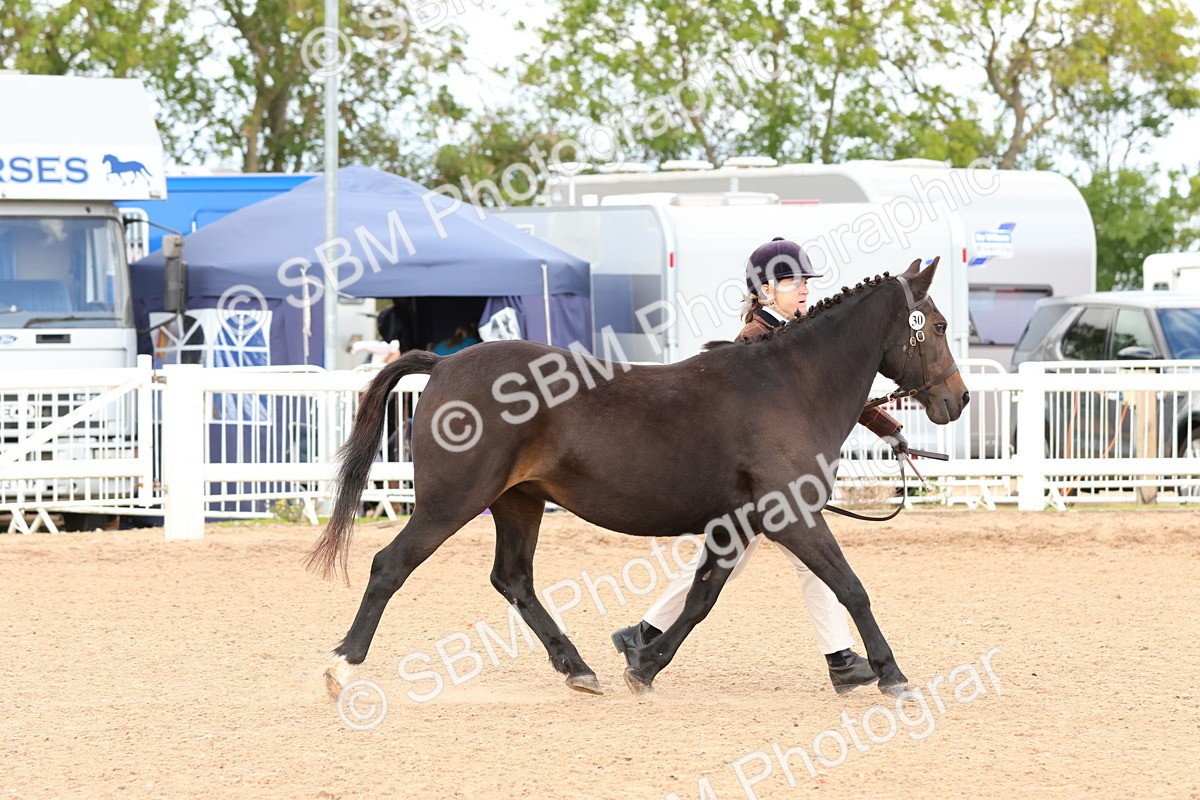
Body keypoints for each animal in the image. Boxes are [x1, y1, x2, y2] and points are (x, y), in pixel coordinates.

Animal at [309, 257, 969, 699]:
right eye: (935, 325)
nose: (957, 399)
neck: (790, 385)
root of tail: (444, 365)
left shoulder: (740, 524)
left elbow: (701, 597)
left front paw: (644, 664)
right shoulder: (793, 517)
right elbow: (851, 588)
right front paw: (890, 673)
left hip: (518, 503)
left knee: (513, 580)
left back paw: (578, 668)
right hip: (450, 503)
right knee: (389, 567)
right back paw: (342, 665)